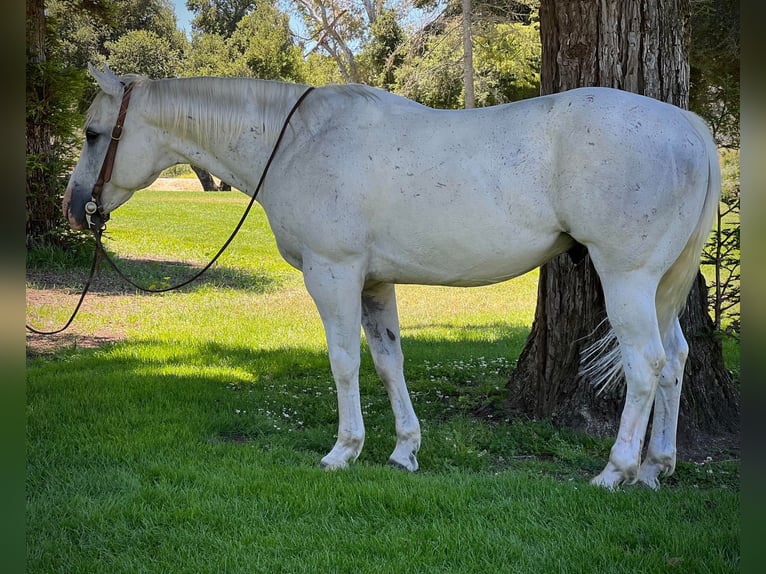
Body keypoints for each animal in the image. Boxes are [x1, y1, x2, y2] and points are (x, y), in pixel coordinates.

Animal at [64, 66, 720, 490]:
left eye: (94, 134)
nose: (75, 207)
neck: (298, 141)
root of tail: (689, 125)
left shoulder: (333, 273)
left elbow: (344, 363)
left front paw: (343, 451)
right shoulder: (374, 283)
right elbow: (387, 363)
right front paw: (404, 451)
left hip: (626, 277)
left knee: (646, 365)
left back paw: (616, 471)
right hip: (660, 285)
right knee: (676, 359)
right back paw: (657, 467)